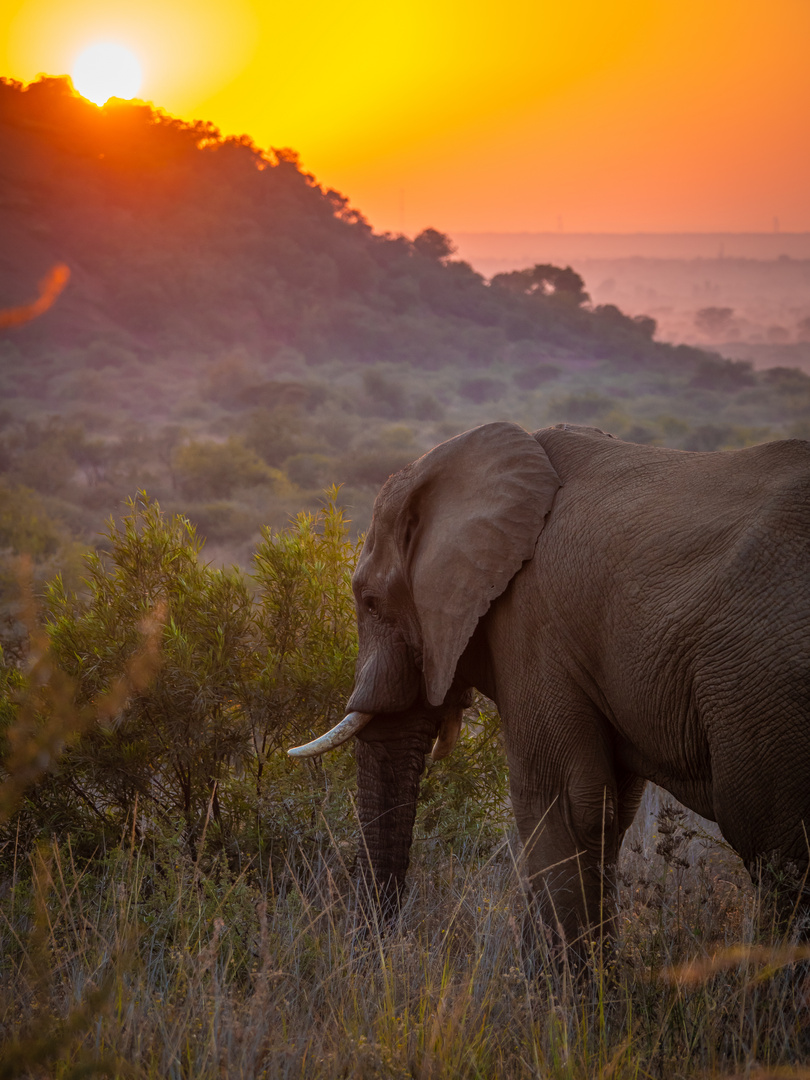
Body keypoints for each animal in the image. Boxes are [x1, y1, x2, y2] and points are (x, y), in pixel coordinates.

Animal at [291, 421, 810, 954]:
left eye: (371, 602)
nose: (377, 951)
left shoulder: (531, 624)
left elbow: (561, 802)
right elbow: (608, 813)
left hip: (765, 684)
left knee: (772, 845)